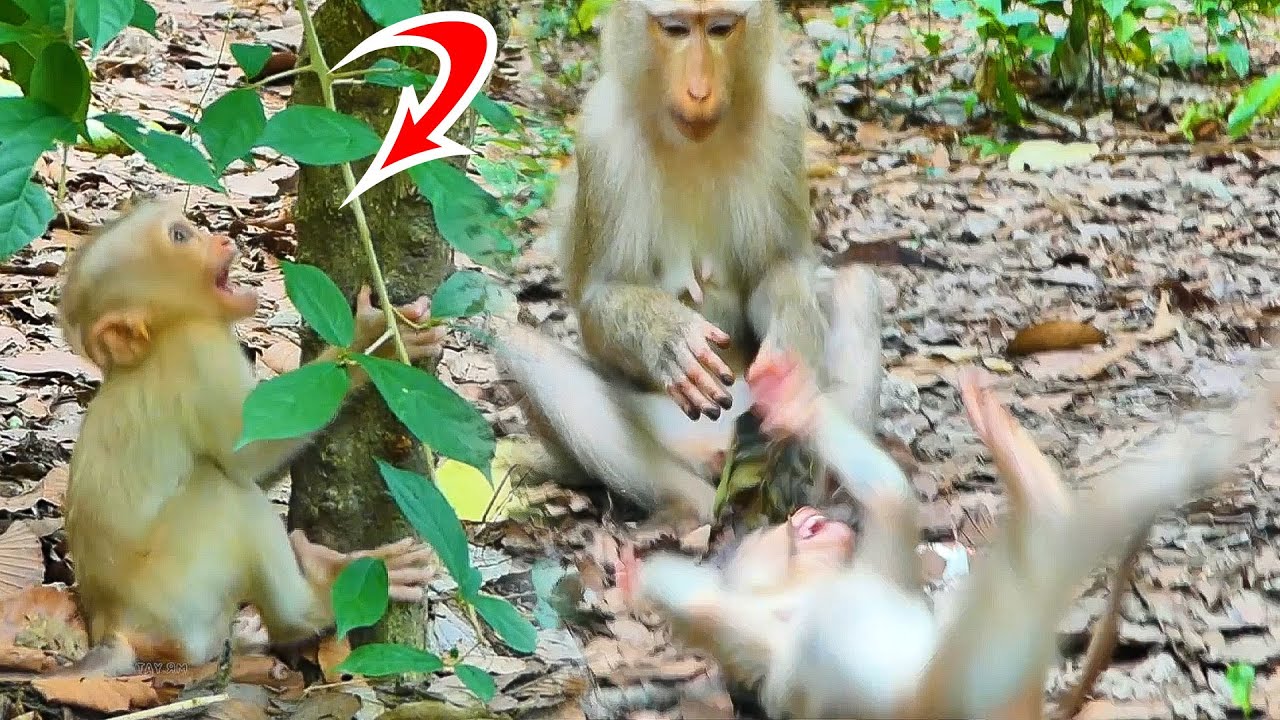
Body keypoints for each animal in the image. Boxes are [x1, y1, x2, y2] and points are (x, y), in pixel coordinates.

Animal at [55, 199, 447, 676]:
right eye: (181, 236)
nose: (225, 239)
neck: (162, 337)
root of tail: (114, 626)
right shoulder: (199, 351)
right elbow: (248, 454)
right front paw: (372, 341)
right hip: (180, 596)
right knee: (223, 489)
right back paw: (316, 600)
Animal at [492, 0, 885, 520]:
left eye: (719, 28)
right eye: (676, 29)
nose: (699, 91)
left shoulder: (783, 120)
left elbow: (779, 269)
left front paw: (792, 352)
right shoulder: (600, 136)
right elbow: (599, 295)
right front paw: (667, 338)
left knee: (856, 289)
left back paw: (805, 491)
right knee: (517, 346)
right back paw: (695, 512)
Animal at [618, 350, 1279, 720]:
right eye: (770, 539)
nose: (804, 520)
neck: (806, 592)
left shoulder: (874, 563)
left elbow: (888, 491)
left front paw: (792, 400)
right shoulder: (764, 641)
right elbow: (705, 611)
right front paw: (635, 578)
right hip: (958, 688)